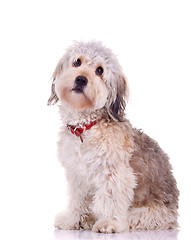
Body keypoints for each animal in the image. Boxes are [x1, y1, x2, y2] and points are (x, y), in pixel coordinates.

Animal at [48, 40, 179, 232]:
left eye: (99, 70)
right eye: (77, 62)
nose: (81, 79)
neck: (87, 128)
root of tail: (174, 216)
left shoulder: (115, 173)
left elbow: (111, 198)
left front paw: (108, 222)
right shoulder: (78, 174)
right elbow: (78, 200)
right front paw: (73, 220)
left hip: (147, 215)